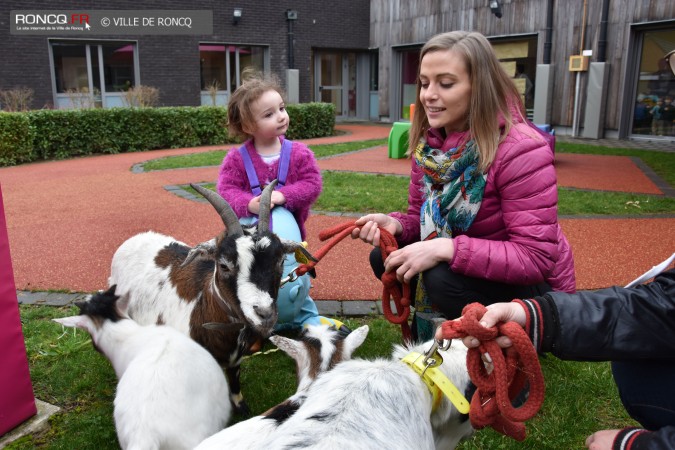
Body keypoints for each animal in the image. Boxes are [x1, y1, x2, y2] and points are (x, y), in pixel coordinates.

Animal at [109, 181, 312, 414]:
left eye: (281, 261)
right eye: (223, 265)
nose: (264, 314)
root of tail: (133, 239)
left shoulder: (235, 360)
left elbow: (235, 386)